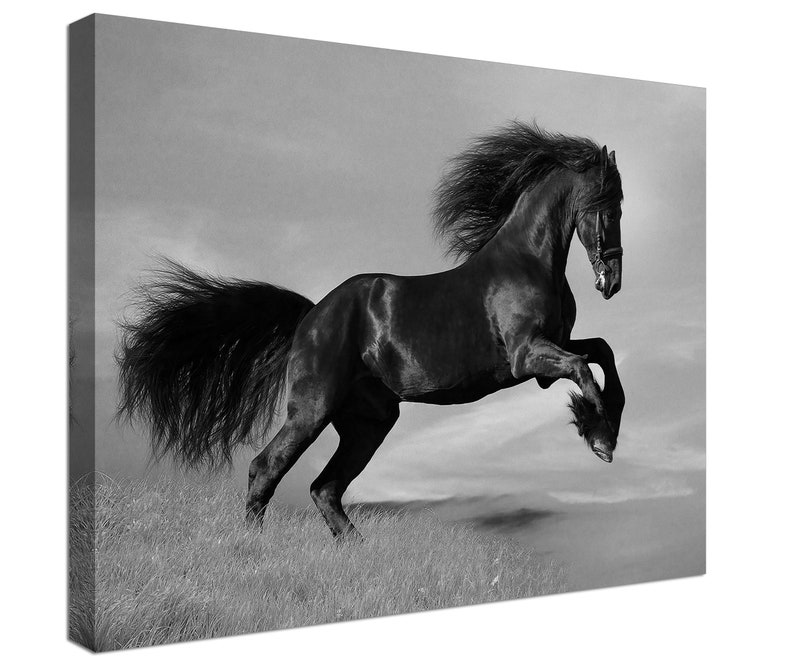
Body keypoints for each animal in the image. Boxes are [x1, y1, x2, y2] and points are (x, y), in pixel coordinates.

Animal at [117, 121, 626, 540]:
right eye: (608, 205)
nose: (613, 282)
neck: (527, 261)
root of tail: (311, 317)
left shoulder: (550, 351)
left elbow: (602, 353)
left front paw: (603, 427)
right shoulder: (526, 357)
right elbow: (585, 367)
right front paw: (599, 435)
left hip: (369, 422)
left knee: (325, 487)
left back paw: (356, 550)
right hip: (312, 409)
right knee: (267, 467)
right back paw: (254, 545)